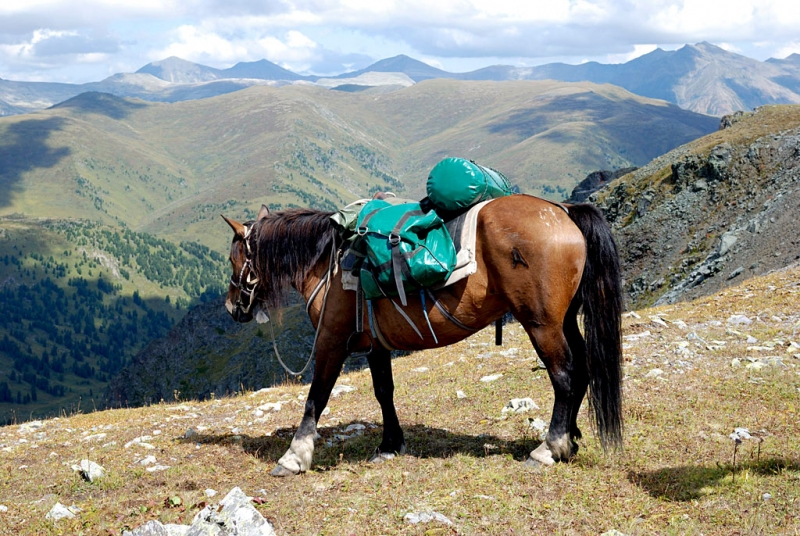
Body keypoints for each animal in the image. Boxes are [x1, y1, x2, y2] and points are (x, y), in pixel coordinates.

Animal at [222, 195, 620, 476]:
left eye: (232, 259)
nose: (232, 307)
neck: (326, 262)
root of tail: (562, 211)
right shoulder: (375, 346)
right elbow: (384, 392)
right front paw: (389, 445)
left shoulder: (331, 341)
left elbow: (315, 398)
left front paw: (294, 456)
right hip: (565, 320)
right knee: (582, 371)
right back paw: (571, 439)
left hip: (541, 324)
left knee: (564, 376)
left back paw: (549, 448)